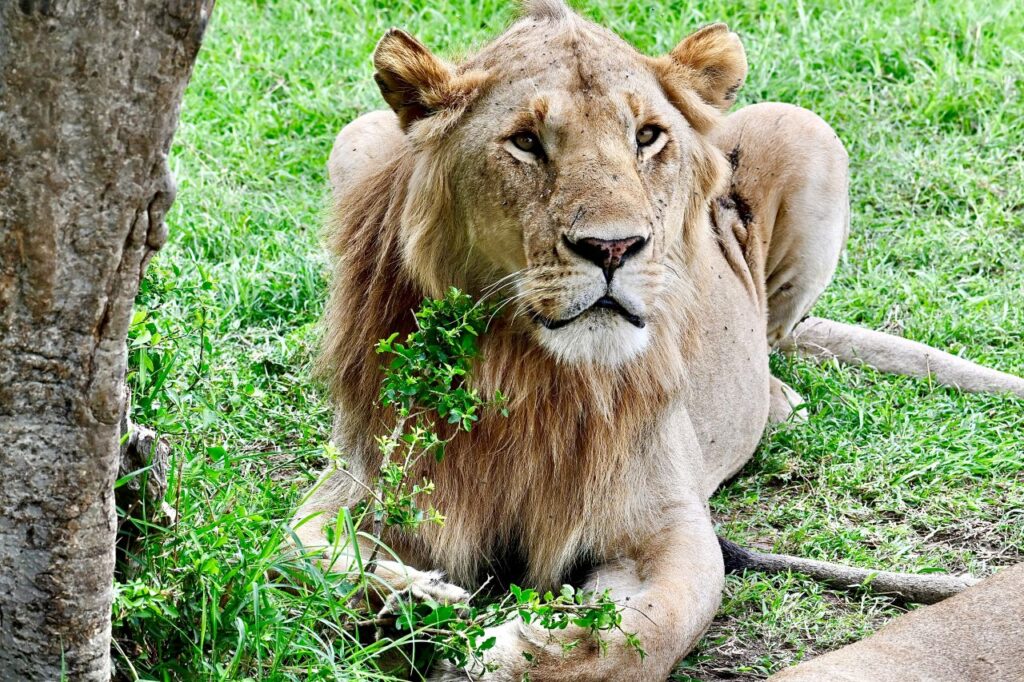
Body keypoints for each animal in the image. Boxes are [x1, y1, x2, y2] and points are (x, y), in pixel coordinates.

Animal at [293, 1, 1024, 679]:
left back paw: (777, 398)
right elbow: (304, 556)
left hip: (803, 130)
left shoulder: (672, 525)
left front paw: (509, 652)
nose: (613, 247)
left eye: (647, 136)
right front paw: (406, 603)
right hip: (361, 135)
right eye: (526, 141)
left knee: (779, 332)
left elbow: (639, 636)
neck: (529, 376)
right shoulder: (358, 483)